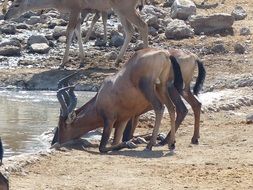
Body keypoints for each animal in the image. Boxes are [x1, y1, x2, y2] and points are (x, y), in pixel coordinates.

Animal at [3, 0, 148, 68]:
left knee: (143, 25)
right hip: (120, 9)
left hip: (125, 8)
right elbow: (77, 29)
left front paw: (63, 62)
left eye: (16, 5)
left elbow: (69, 31)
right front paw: (82, 59)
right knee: (130, 29)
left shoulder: (74, 7)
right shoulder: (78, 10)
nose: (5, 16)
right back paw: (117, 61)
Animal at [52, 47, 185, 153]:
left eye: (62, 125)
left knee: (159, 107)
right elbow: (115, 141)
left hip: (148, 87)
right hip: (161, 87)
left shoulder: (109, 120)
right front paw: (130, 142)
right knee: (171, 108)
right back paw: (171, 144)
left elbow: (102, 147)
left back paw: (150, 145)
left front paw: (130, 143)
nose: (54, 143)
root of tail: (165, 54)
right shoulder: (123, 121)